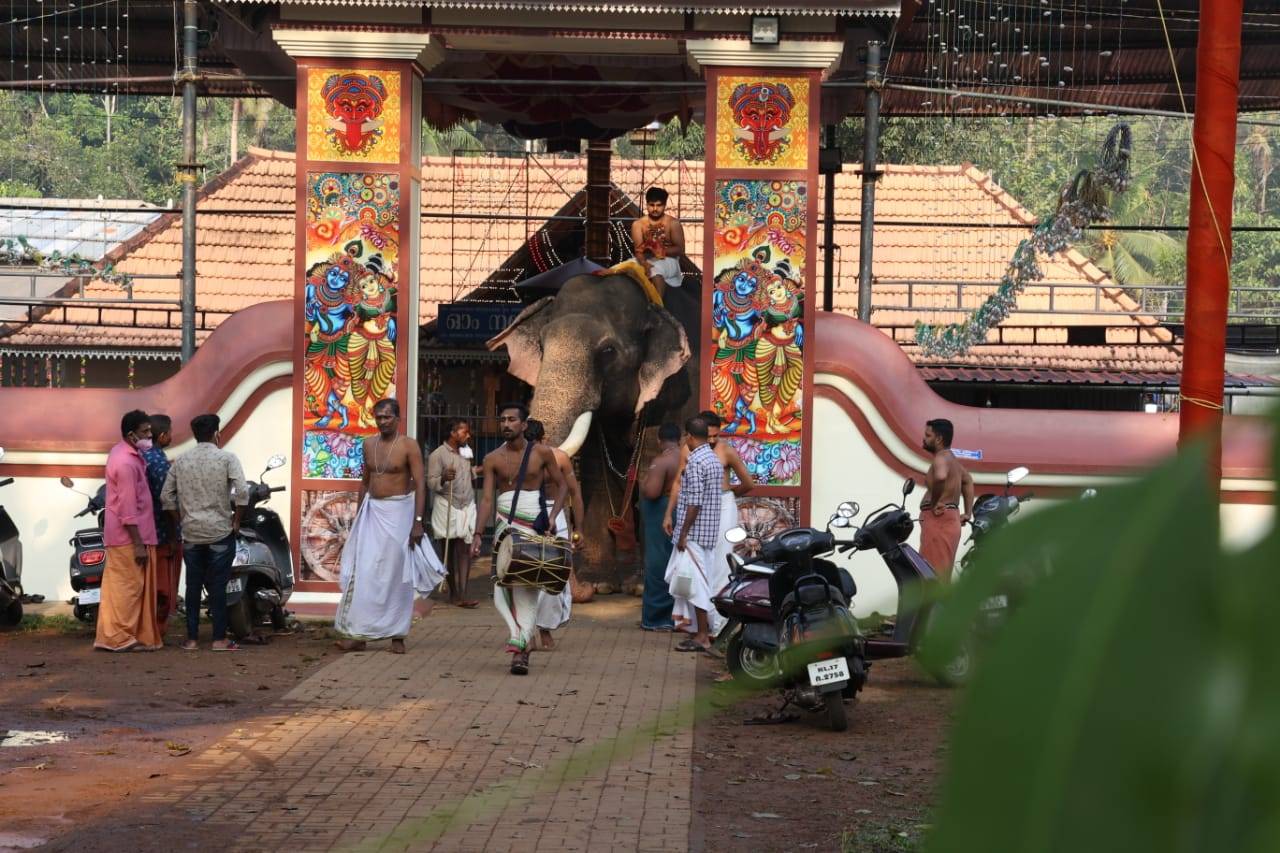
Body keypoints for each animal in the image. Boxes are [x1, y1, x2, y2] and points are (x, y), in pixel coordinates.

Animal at [486, 268, 691, 581]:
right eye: (541, 346)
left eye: (608, 351)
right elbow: (596, 467)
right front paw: (600, 583)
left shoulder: (674, 393)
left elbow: (651, 473)